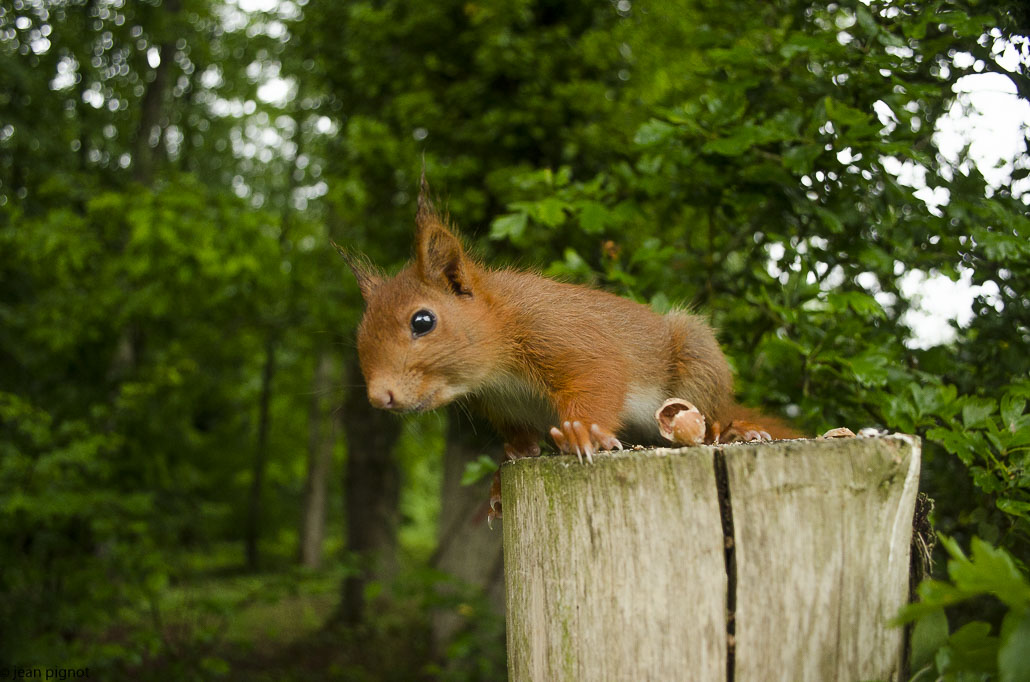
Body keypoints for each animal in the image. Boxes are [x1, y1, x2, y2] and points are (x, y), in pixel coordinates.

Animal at [337, 176, 795, 484]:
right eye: (360, 332)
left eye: (423, 321)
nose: (380, 396)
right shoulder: (502, 405)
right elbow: (519, 441)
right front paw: (507, 469)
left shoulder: (561, 333)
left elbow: (602, 372)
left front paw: (581, 432)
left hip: (697, 357)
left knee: (715, 409)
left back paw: (732, 429)